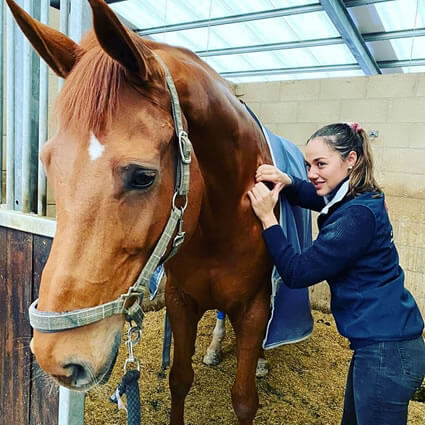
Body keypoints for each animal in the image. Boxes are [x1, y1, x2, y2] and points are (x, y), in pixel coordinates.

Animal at [6, 0, 280, 422]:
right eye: (48, 163)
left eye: (143, 176)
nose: (54, 357)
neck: (221, 224)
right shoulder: (182, 302)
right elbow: (179, 380)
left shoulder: (253, 308)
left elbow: (244, 399)